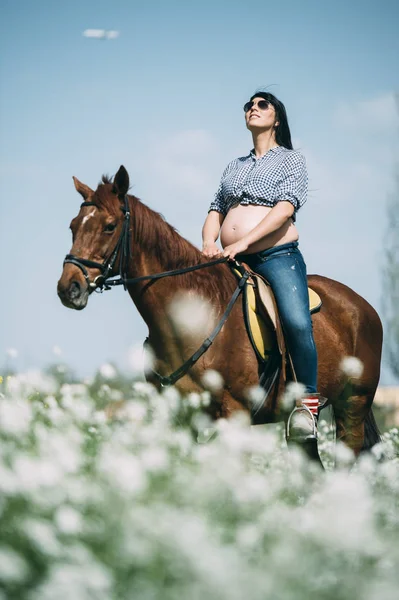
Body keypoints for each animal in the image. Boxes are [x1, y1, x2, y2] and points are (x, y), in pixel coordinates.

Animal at [57, 164, 384, 454]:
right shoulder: (181, 418)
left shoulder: (235, 413)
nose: (68, 288)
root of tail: (363, 306)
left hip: (352, 408)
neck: (194, 319)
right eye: (72, 226)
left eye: (110, 226)